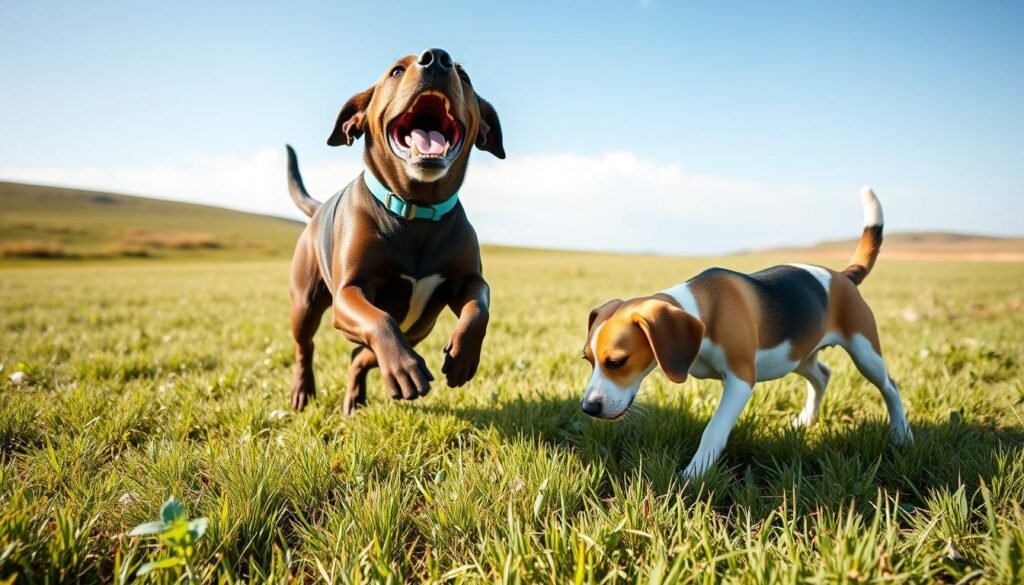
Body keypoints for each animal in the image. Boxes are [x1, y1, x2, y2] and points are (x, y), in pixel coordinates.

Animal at [284, 50, 503, 415]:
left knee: (360, 356)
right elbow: (379, 320)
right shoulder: (349, 292)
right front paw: (403, 366)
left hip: (417, 330)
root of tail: (318, 209)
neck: (416, 211)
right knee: (306, 347)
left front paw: (463, 356)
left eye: (465, 76)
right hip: (305, 304)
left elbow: (478, 307)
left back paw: (357, 396)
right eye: (397, 70)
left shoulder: (467, 281)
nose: (437, 58)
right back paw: (304, 389)